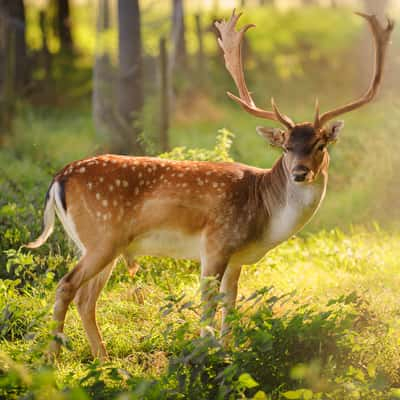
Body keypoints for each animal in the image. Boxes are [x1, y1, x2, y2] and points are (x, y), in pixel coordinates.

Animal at [27, 10, 394, 360]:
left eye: (320, 145)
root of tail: (58, 178)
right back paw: (52, 358)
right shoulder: (215, 244)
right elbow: (207, 304)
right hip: (102, 235)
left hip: (100, 244)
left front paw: (228, 352)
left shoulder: (237, 259)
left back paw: (105, 363)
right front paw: (207, 354)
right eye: (286, 146)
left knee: (86, 298)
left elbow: (230, 305)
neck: (264, 214)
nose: (300, 173)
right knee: (66, 286)